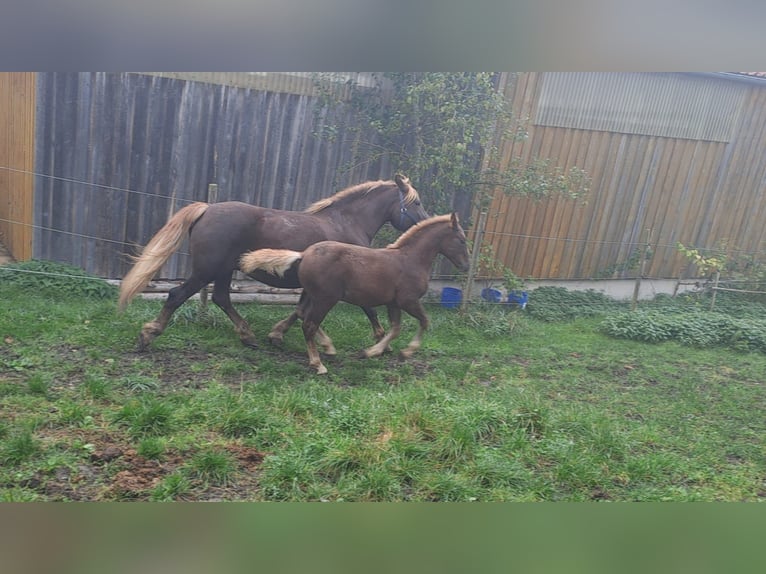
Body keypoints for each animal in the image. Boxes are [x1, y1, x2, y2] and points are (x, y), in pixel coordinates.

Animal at [118, 174, 428, 352]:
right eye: (416, 203)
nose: (426, 222)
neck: (346, 222)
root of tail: (207, 208)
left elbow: (300, 311)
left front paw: (276, 335)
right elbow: (367, 308)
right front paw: (381, 341)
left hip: (223, 271)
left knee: (221, 299)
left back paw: (248, 336)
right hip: (206, 270)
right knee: (176, 295)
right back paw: (147, 336)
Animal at [240, 214, 472, 376]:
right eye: (461, 240)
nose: (466, 266)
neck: (411, 259)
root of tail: (304, 254)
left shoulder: (394, 303)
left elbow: (395, 328)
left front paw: (371, 352)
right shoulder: (409, 301)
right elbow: (424, 321)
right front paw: (406, 352)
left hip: (312, 295)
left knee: (302, 314)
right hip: (325, 299)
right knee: (309, 325)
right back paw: (318, 364)